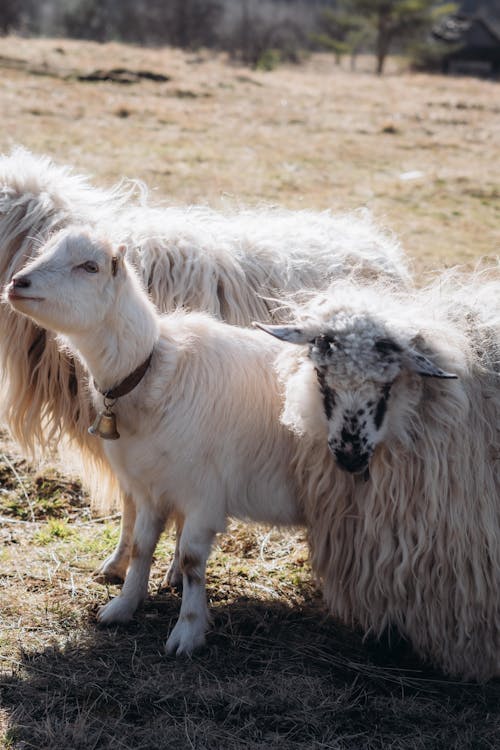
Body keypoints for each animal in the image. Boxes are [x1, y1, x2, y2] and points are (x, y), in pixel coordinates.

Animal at [4, 229, 312, 656]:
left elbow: (193, 561)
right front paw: (122, 606)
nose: (18, 283)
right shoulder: (150, 485)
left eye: (90, 266)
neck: (153, 368)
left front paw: (188, 631)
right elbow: (141, 545)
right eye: (44, 251)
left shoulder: (204, 492)